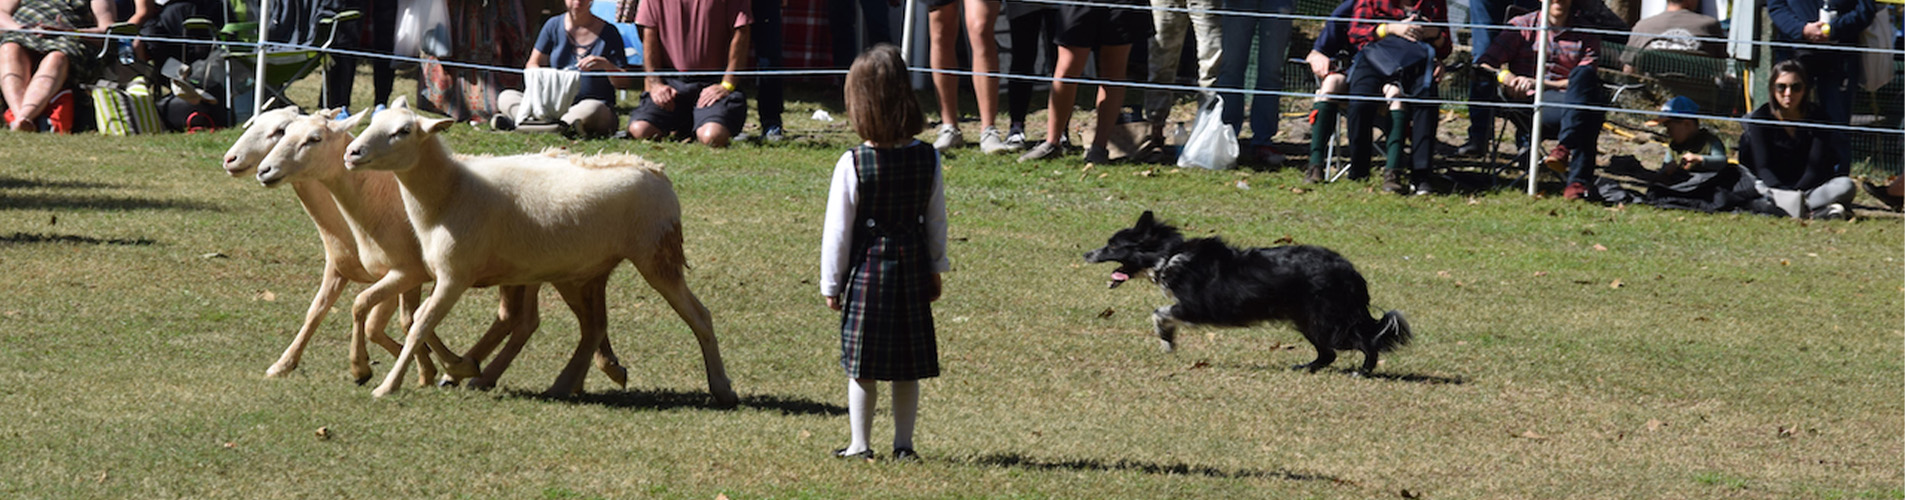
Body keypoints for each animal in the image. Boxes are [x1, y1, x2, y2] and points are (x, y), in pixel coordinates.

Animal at [339, 95, 731, 404]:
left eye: (403, 131)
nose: (352, 152)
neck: (450, 192)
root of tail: (656, 171)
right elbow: (412, 320)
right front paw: (455, 368)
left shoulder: (454, 276)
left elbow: (419, 324)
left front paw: (388, 385)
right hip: (584, 271)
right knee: (592, 326)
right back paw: (564, 383)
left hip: (656, 257)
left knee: (699, 316)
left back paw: (722, 388)